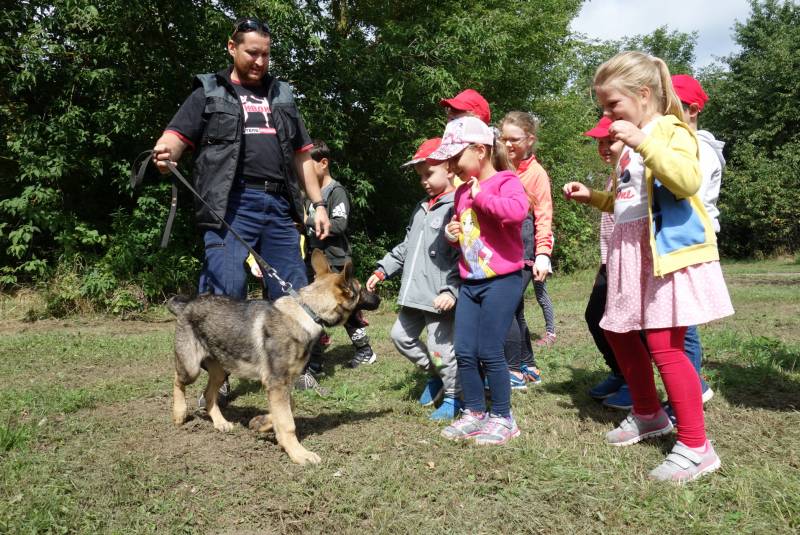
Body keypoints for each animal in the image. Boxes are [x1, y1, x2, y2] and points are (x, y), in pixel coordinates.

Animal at [168, 251, 382, 464]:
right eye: (360, 290)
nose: (379, 298)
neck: (307, 312)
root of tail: (186, 306)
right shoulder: (276, 382)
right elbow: (288, 422)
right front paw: (298, 453)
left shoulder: (282, 383)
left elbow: (289, 408)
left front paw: (263, 422)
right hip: (191, 368)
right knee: (178, 380)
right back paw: (179, 414)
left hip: (220, 371)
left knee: (208, 394)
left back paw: (220, 423)